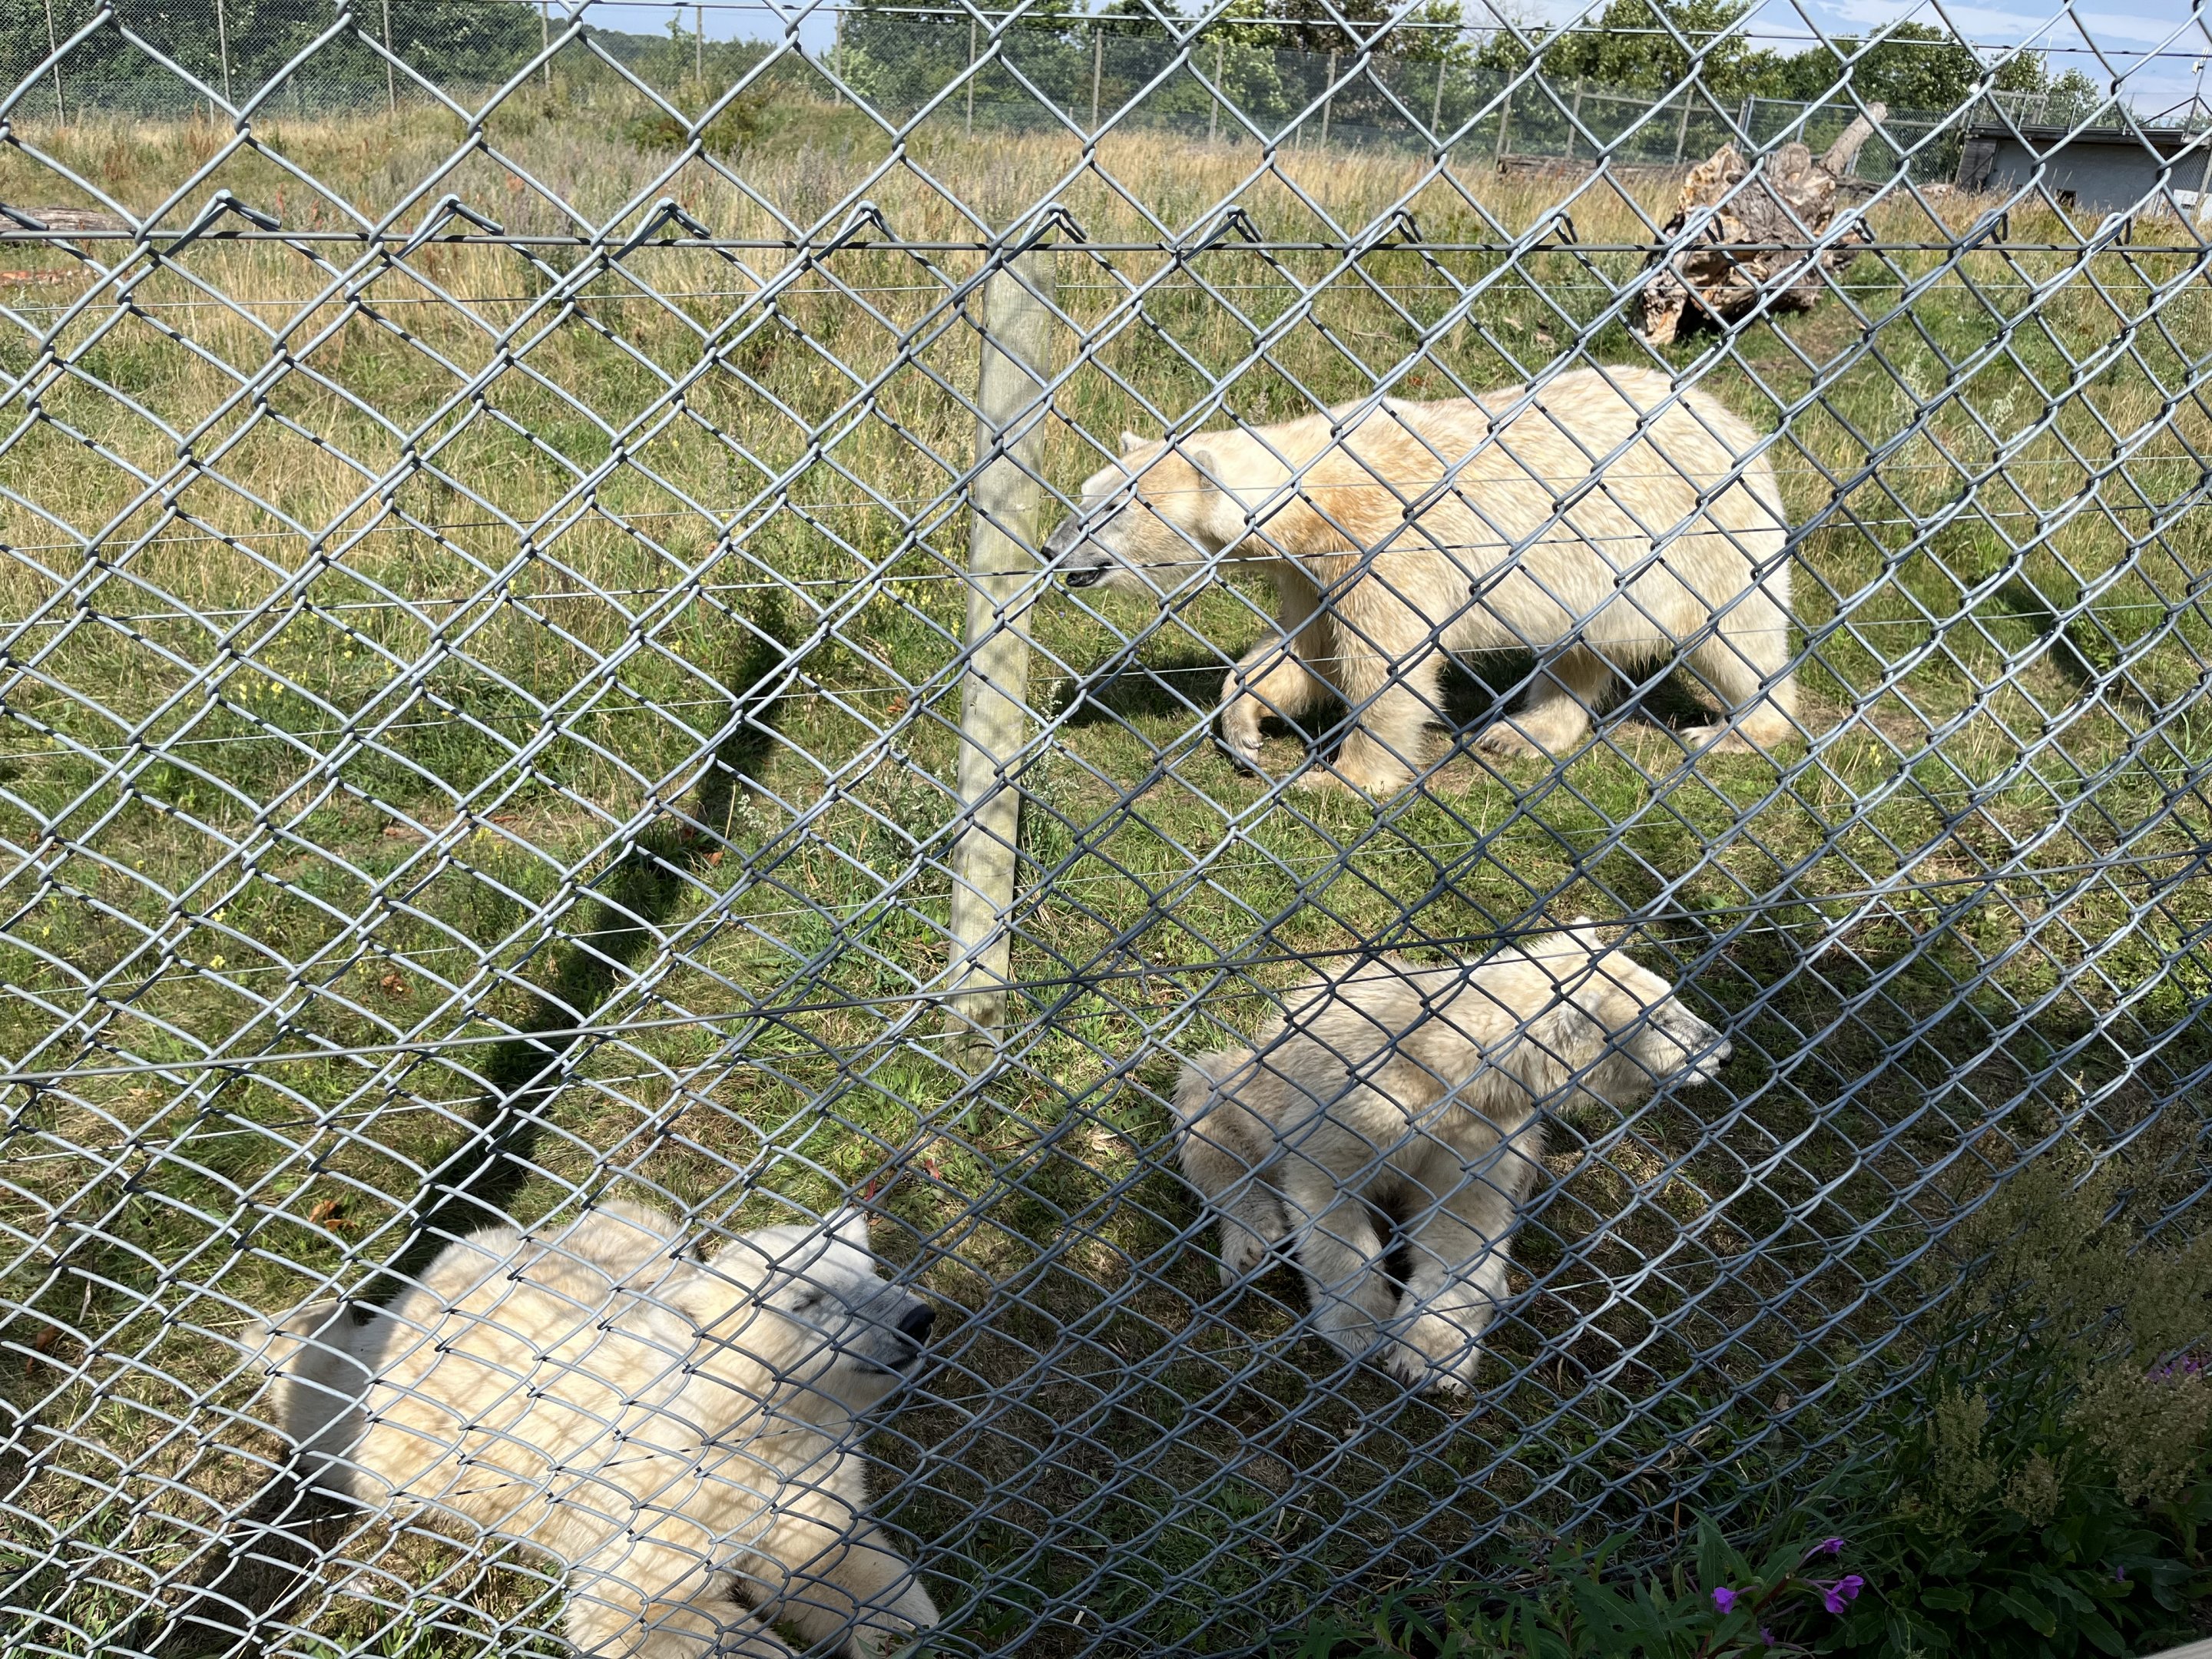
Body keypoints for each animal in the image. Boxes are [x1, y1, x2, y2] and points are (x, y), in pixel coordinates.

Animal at [1047, 365, 1796, 794]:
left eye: (1112, 509)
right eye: (1084, 493)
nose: (1055, 551)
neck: (1319, 490)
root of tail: (1735, 422)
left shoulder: (1384, 546)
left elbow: (1382, 665)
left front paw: (1342, 779)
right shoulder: (1311, 567)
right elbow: (1303, 651)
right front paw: (1244, 725)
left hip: (1702, 531)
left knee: (1738, 632)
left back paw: (1739, 729)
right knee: (1580, 644)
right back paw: (1522, 732)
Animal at [1172, 922, 1731, 1395]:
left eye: (1674, 999)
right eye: (1660, 1018)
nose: (1724, 1050)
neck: (1452, 1061)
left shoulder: (1483, 1131)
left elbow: (1463, 1223)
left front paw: (1428, 1358)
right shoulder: (1358, 1096)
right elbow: (1328, 1194)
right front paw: (1363, 1332)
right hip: (1261, 1074)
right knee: (1209, 1098)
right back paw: (1252, 1241)